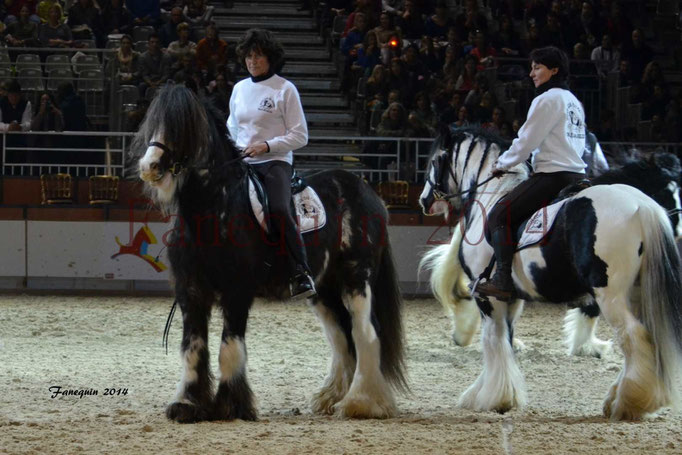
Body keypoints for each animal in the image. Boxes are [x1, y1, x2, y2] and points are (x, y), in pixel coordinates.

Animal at [135, 83, 406, 422]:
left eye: (182, 125)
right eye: (153, 121)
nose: (149, 166)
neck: (214, 207)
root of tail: (368, 192)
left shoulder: (237, 291)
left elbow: (229, 348)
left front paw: (230, 406)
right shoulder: (191, 291)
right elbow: (193, 347)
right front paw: (188, 404)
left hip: (358, 276)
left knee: (365, 331)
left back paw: (361, 403)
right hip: (323, 289)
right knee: (341, 334)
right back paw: (331, 398)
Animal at [414, 126, 680, 418]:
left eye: (433, 161)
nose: (424, 200)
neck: (494, 194)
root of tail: (643, 207)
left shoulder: (488, 296)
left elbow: (493, 340)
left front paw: (491, 397)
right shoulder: (511, 297)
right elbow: (504, 337)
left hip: (611, 294)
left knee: (634, 337)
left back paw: (628, 401)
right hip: (638, 294)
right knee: (648, 339)